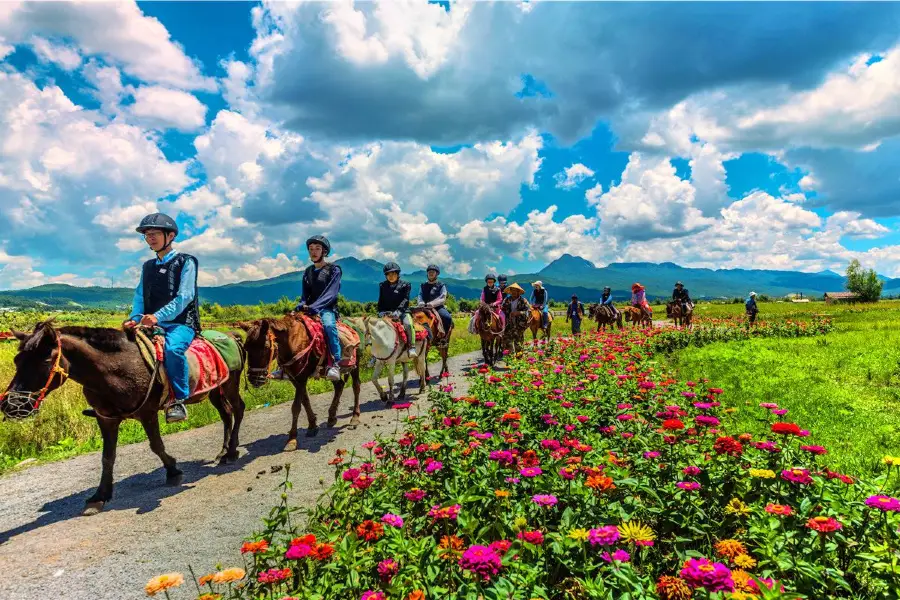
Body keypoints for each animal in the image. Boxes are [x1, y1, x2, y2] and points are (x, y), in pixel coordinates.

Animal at [0, 324, 246, 516]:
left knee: (238, 409)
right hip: (215, 390)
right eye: (17, 360)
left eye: (45, 361)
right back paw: (224, 451)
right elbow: (107, 457)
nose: (10, 406)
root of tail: (231, 335)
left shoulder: (147, 413)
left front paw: (173, 471)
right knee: (226, 413)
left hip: (230, 384)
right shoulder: (106, 419)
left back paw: (232, 452)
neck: (116, 370)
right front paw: (99, 496)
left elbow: (156, 445)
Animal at [244, 314, 364, 450]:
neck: (291, 341)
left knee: (356, 386)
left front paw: (292, 439)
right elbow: (305, 401)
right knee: (339, 386)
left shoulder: (301, 377)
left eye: (265, 347)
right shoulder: (294, 378)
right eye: (246, 348)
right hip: (327, 371)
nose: (254, 379)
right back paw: (332, 417)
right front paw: (312, 426)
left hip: (355, 364)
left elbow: (296, 406)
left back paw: (354, 417)